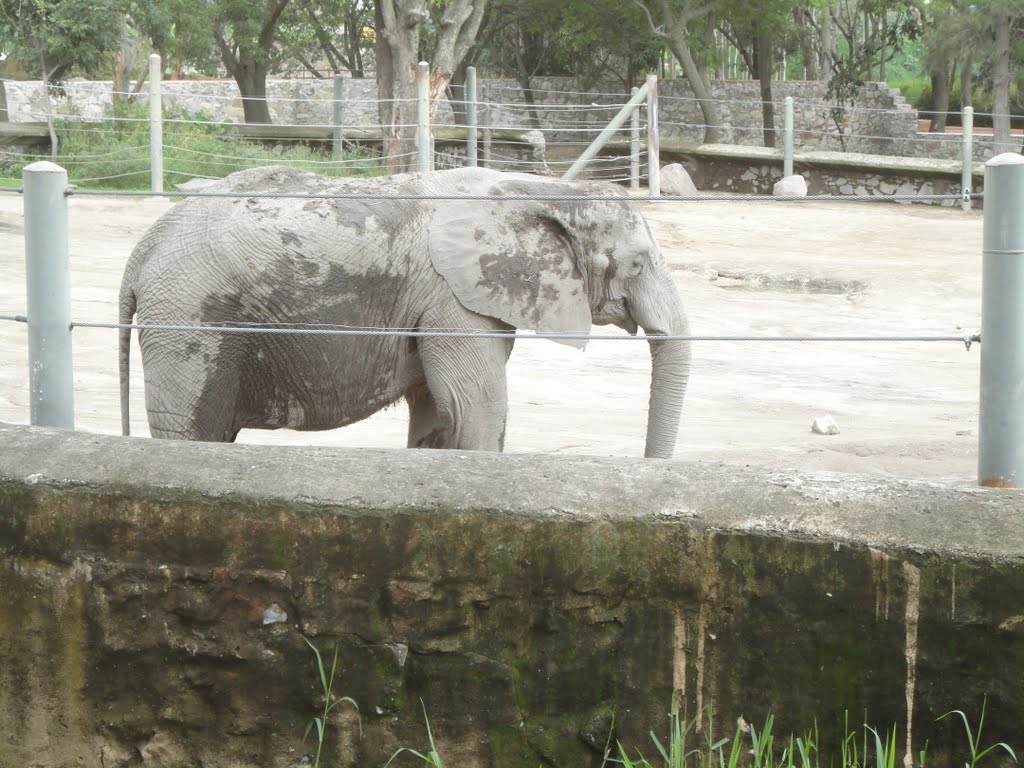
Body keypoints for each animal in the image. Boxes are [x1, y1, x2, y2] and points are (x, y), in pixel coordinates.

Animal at [117, 163, 696, 456]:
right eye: (639, 263)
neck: (541, 189)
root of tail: (143, 248)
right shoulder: (453, 298)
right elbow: (475, 407)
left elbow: (439, 413)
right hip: (188, 320)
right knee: (189, 434)